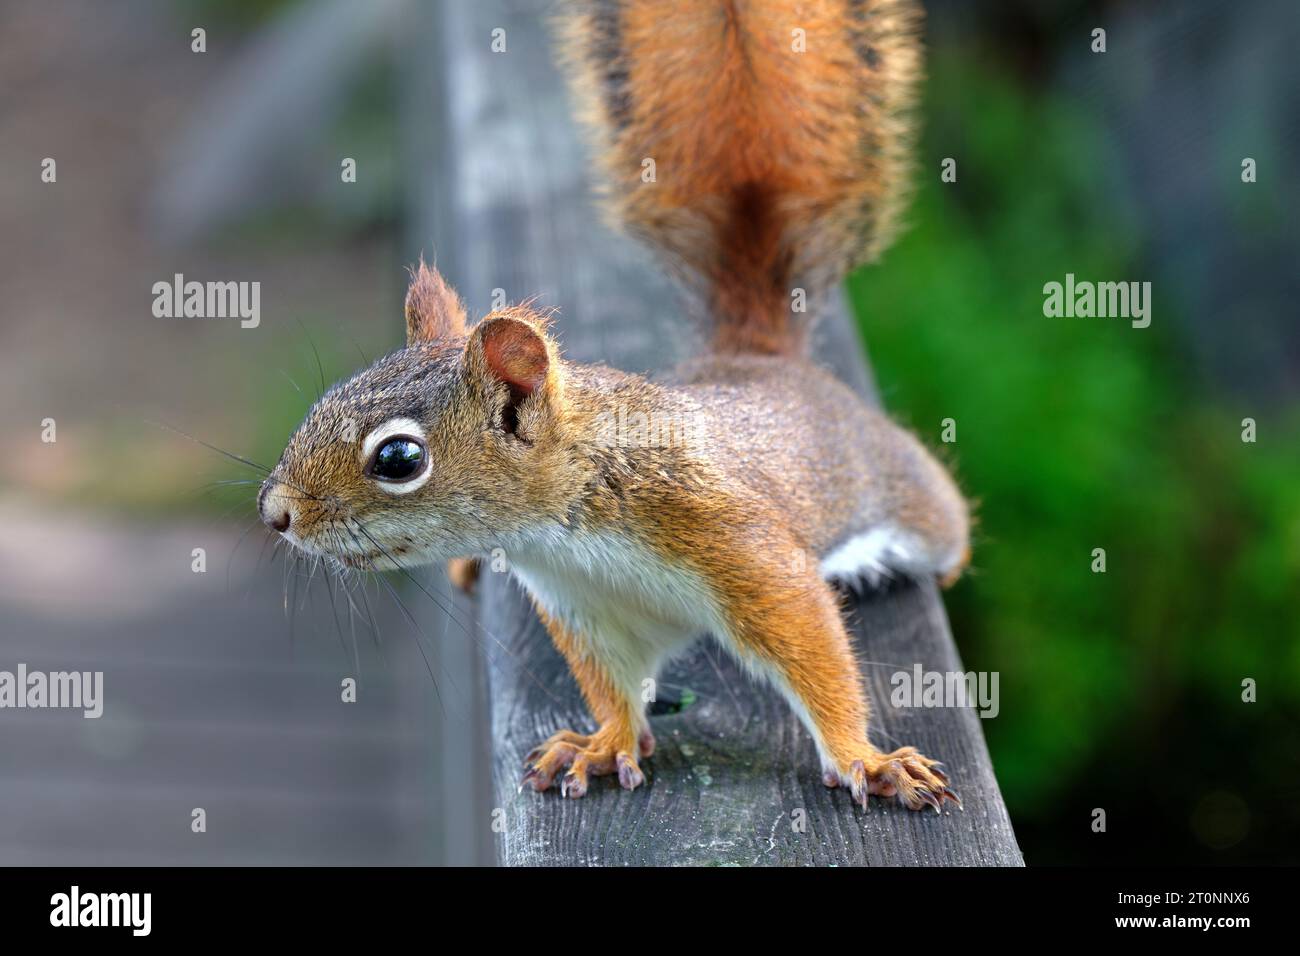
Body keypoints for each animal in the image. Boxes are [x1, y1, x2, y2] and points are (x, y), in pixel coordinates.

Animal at [256, 0, 967, 816]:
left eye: (399, 458)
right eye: (329, 397)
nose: (274, 512)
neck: (569, 523)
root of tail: (759, 357)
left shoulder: (738, 541)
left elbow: (811, 647)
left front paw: (866, 760)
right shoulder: (585, 606)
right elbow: (613, 685)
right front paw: (604, 745)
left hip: (899, 488)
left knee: (946, 520)